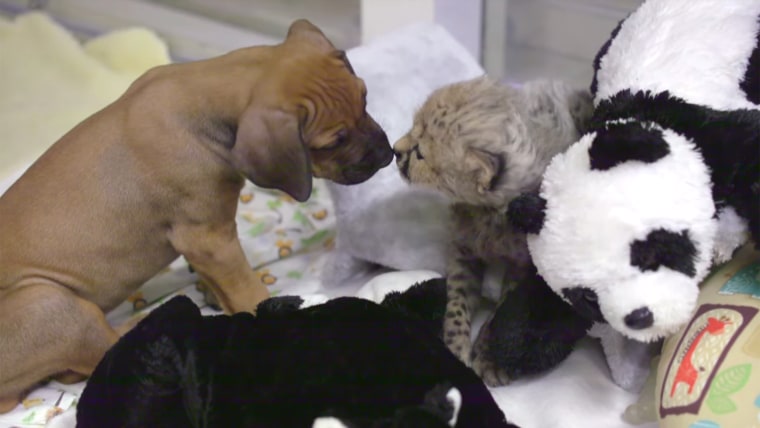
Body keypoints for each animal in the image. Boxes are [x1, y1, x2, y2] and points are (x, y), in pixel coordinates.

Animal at [0, 19, 392, 412]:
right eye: (333, 142)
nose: (388, 155)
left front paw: (214, 292)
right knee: (96, 353)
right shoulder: (209, 237)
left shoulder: (206, 245)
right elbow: (245, 286)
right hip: (50, 303)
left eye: (365, 99)